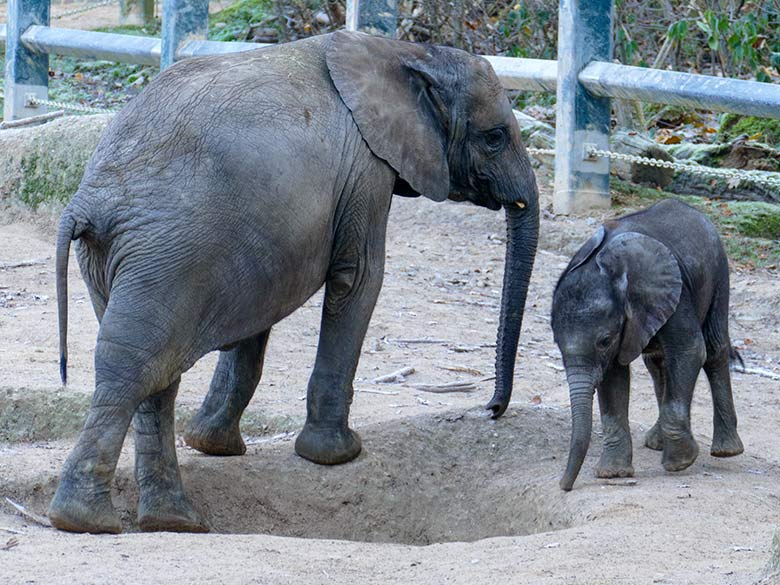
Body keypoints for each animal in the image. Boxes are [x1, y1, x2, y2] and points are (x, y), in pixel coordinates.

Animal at [48, 32, 536, 532]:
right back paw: (88, 520)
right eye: (495, 138)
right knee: (135, 367)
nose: (491, 409)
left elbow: (257, 315)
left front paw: (214, 446)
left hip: (123, 262)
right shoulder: (364, 170)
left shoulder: (261, 242)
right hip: (167, 256)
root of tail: (87, 202)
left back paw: (171, 520)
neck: (405, 51)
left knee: (152, 373)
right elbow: (360, 279)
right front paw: (337, 455)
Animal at [556, 198, 744, 490]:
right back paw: (657, 443)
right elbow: (612, 376)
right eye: (557, 343)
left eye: (604, 341)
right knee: (658, 364)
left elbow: (691, 350)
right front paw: (613, 474)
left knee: (714, 350)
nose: (564, 486)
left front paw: (680, 463)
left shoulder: (674, 291)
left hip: (718, 272)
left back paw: (726, 450)